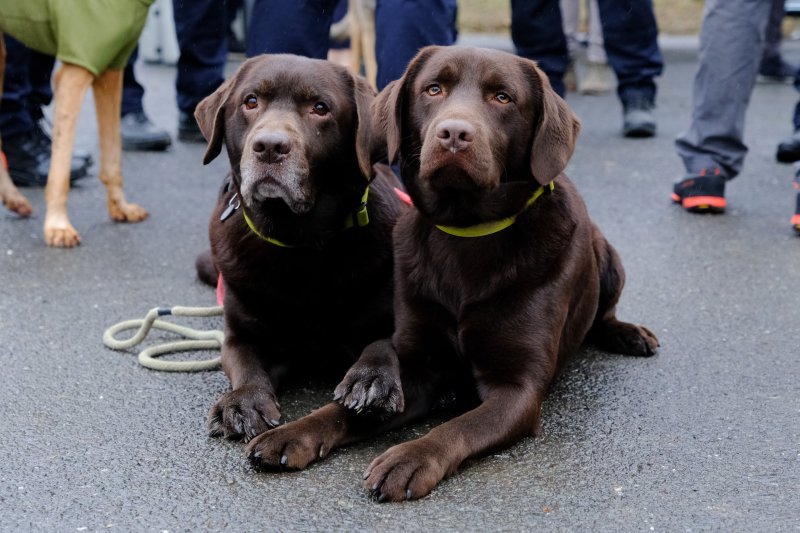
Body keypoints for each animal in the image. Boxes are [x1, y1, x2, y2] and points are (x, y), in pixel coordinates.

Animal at [0, 1, 152, 247]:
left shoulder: (111, 66)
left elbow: (113, 157)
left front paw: (120, 207)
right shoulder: (75, 71)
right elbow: (60, 172)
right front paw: (58, 226)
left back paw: (13, 198)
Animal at [194, 54, 406, 438]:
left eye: (319, 108)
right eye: (251, 101)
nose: (269, 146)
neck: (298, 239)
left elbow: (383, 342)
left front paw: (371, 379)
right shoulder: (240, 335)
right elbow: (244, 365)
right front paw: (243, 401)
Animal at [247, 45, 660, 498]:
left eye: (503, 97)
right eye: (433, 89)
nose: (454, 134)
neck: (466, 230)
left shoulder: (518, 390)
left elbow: (457, 427)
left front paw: (409, 459)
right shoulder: (418, 368)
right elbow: (342, 411)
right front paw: (293, 433)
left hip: (609, 259)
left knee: (606, 311)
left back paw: (628, 333)